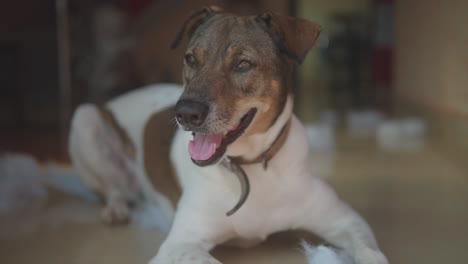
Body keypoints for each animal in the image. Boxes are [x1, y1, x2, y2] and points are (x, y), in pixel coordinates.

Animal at [68, 6, 388, 264]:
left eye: (243, 64)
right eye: (190, 59)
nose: (185, 113)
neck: (249, 167)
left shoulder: (346, 219)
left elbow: (371, 252)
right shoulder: (179, 245)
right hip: (84, 117)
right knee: (113, 188)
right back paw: (117, 209)